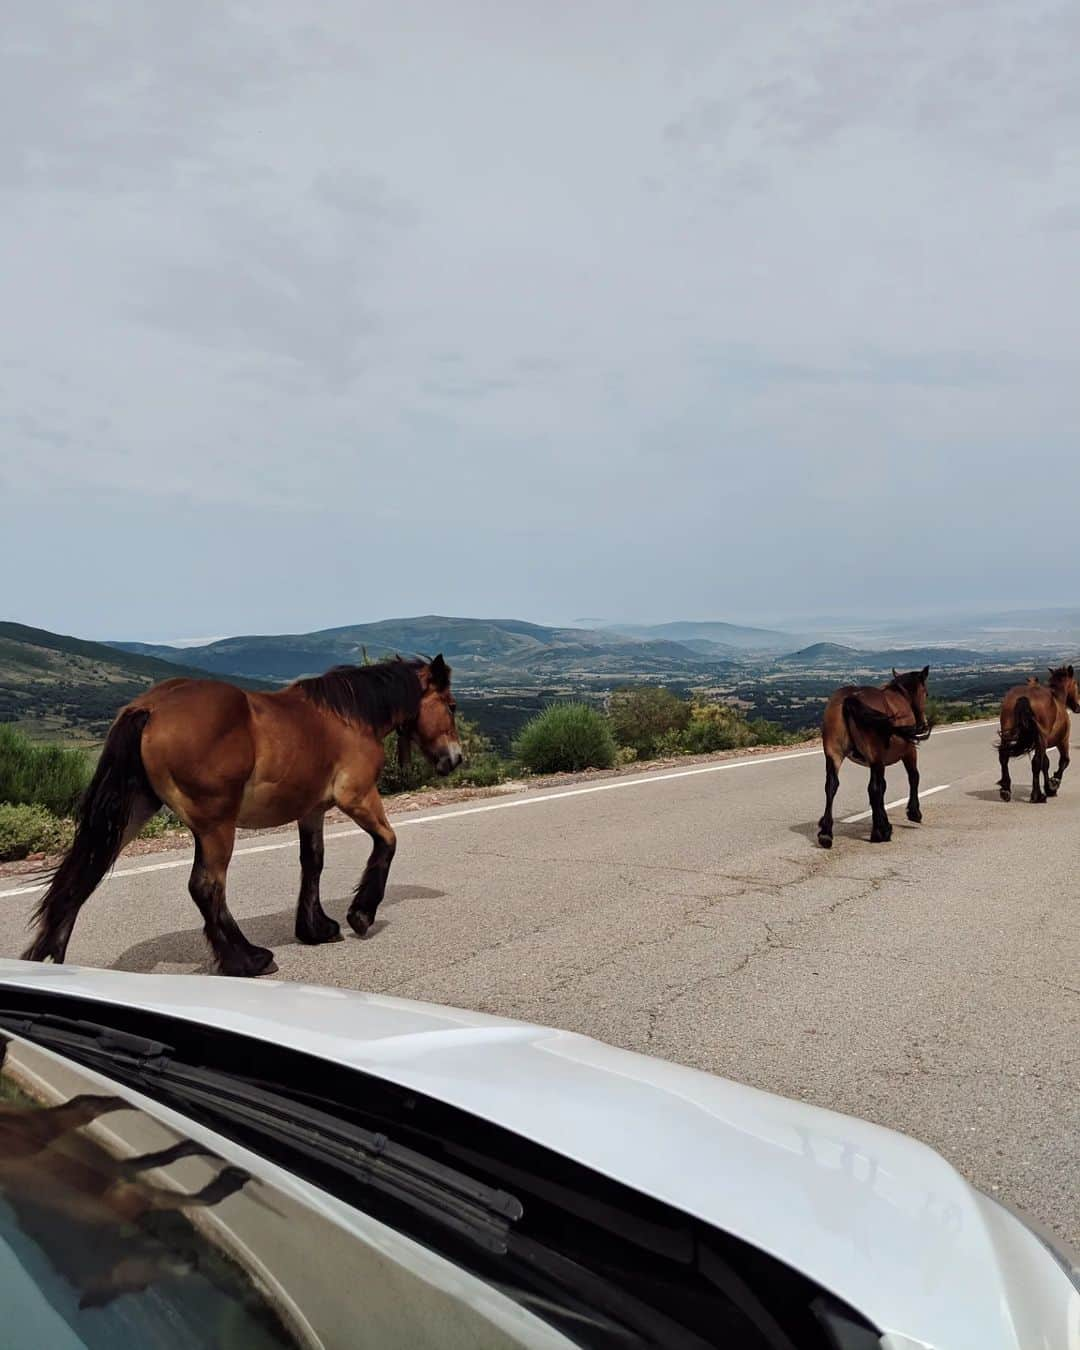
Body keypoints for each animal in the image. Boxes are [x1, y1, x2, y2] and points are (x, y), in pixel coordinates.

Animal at [21, 650, 459, 972]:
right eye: (452, 705)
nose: (455, 758)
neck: (347, 717)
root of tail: (150, 708)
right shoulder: (358, 797)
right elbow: (387, 842)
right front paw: (361, 914)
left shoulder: (312, 811)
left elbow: (312, 863)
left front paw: (315, 928)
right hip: (215, 826)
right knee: (205, 887)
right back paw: (248, 958)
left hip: (130, 815)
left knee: (82, 877)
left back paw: (49, 958)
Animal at [815, 666, 934, 847]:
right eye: (925, 693)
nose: (924, 724)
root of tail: (850, 698)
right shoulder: (908, 752)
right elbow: (912, 777)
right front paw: (913, 813)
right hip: (875, 757)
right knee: (874, 788)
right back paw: (880, 831)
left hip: (834, 755)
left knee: (831, 785)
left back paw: (826, 832)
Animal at [993, 664, 1080, 799]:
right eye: (1076, 683)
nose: (1078, 706)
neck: (1057, 700)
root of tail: (1024, 697)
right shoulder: (1062, 741)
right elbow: (1063, 761)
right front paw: (1053, 784)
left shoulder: (1042, 744)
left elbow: (1045, 763)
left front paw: (1049, 787)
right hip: (1042, 738)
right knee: (1036, 762)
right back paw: (1037, 795)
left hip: (1007, 733)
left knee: (1004, 757)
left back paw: (1005, 790)